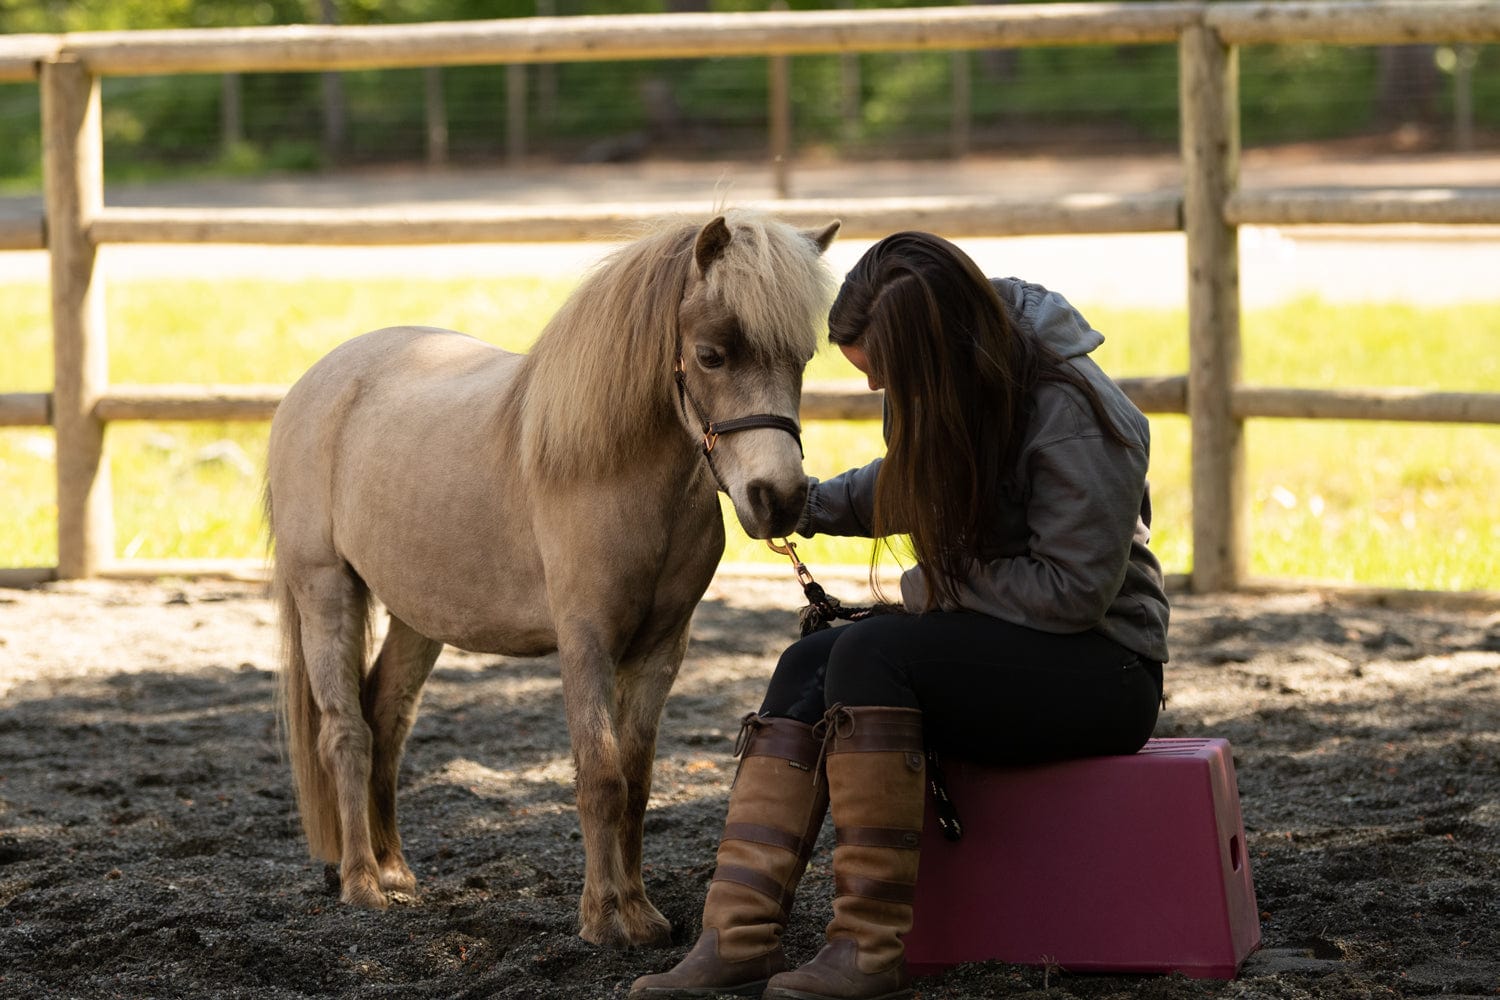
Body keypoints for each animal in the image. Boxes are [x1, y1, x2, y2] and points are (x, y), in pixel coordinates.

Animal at [265, 209, 840, 949]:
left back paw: (395, 872)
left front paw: (640, 913)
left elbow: (636, 780)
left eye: (803, 359)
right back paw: (362, 883)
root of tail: (317, 384)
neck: (612, 470)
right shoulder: (584, 641)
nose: (780, 498)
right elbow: (599, 775)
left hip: (418, 618)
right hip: (325, 592)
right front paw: (601, 918)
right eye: (712, 354)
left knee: (387, 717)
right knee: (347, 732)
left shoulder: (662, 649)